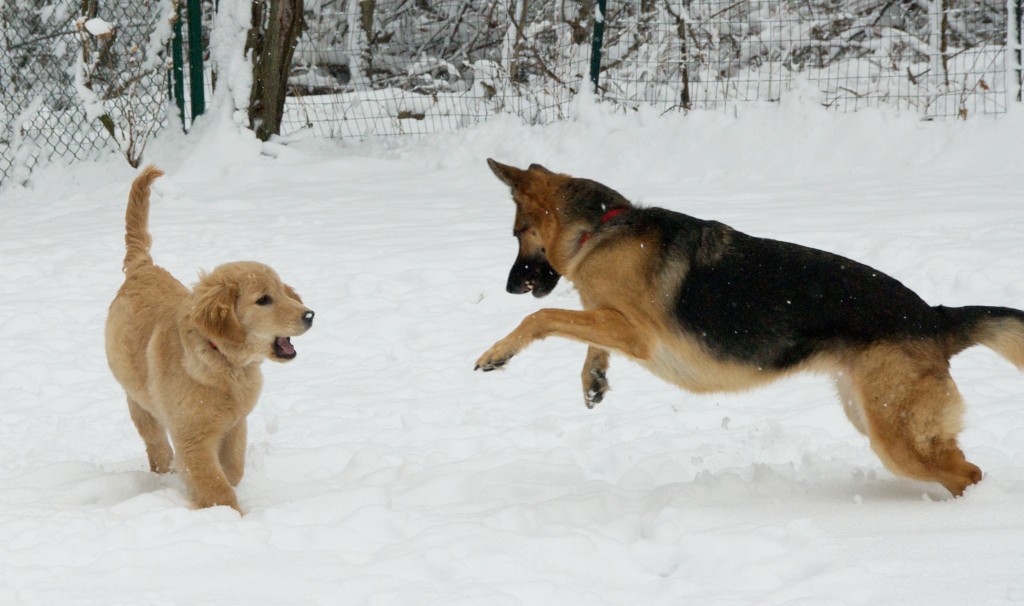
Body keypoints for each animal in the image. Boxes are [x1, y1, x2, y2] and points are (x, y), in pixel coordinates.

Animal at [104, 165, 313, 511]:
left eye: (283, 292)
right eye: (264, 300)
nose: (310, 315)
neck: (222, 360)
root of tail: (143, 267)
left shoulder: (236, 423)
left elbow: (233, 468)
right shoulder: (192, 437)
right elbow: (216, 487)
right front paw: (227, 515)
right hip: (138, 401)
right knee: (156, 445)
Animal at [477, 158, 1024, 495]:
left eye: (518, 234)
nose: (507, 286)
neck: (602, 230)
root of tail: (934, 315)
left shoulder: (634, 333)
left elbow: (544, 317)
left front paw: (497, 352)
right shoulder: (610, 322)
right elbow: (582, 336)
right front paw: (593, 379)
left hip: (896, 436)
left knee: (969, 472)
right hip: (871, 416)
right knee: (959, 464)